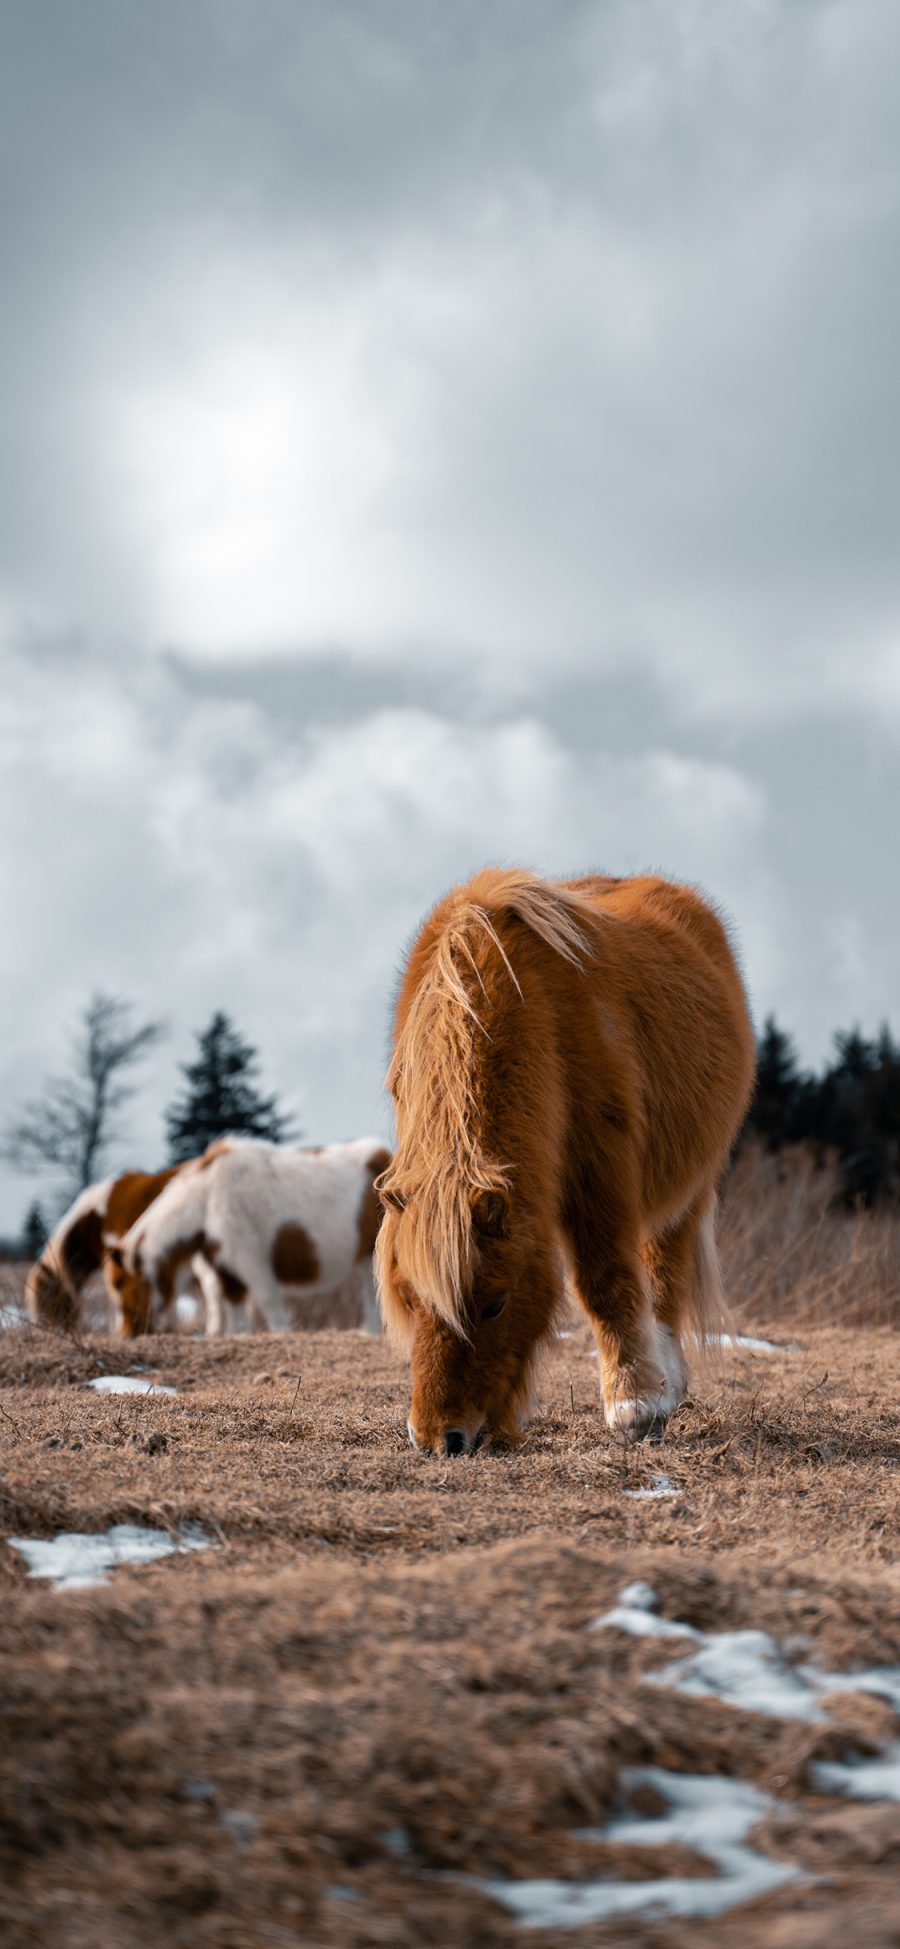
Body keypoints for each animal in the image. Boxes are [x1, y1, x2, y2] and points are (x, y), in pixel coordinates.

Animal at [114, 1138, 389, 1333]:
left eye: (128, 1283)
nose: (133, 1331)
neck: (207, 1199)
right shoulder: (226, 1272)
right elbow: (236, 1316)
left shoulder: (251, 1262)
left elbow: (270, 1304)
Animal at [375, 865, 755, 1450]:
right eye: (410, 1301)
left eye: (494, 1304)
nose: (441, 1440)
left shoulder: (598, 1168)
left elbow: (604, 1281)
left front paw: (634, 1405)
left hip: (686, 1190)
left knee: (663, 1274)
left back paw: (665, 1386)